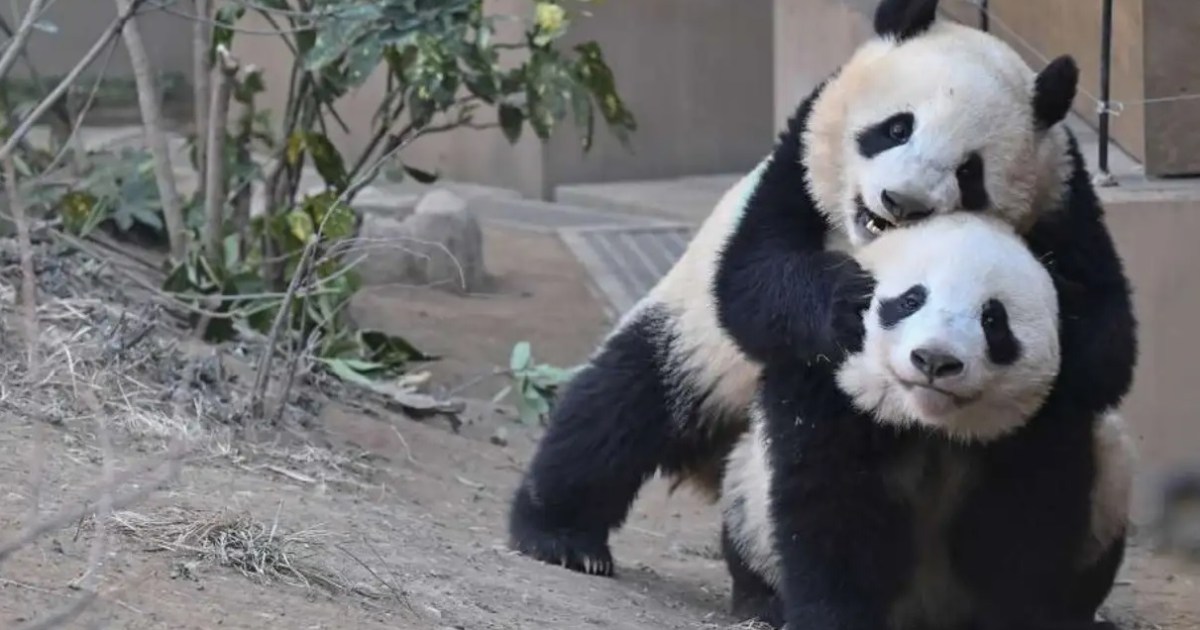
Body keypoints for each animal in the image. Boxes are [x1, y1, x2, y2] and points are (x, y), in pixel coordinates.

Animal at [508, 0, 1137, 578]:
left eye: (969, 172)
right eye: (896, 128)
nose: (900, 201)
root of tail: (717, 461)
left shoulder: (1063, 205)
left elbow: (1108, 341)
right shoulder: (794, 170)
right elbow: (751, 283)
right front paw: (846, 305)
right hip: (693, 343)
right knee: (619, 406)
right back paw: (559, 534)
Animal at [720, 213, 1135, 630]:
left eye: (993, 319)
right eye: (910, 301)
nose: (935, 360)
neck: (929, 423)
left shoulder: (1047, 419)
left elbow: (1030, 523)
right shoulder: (832, 395)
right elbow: (831, 510)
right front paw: (832, 617)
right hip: (748, 499)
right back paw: (761, 603)